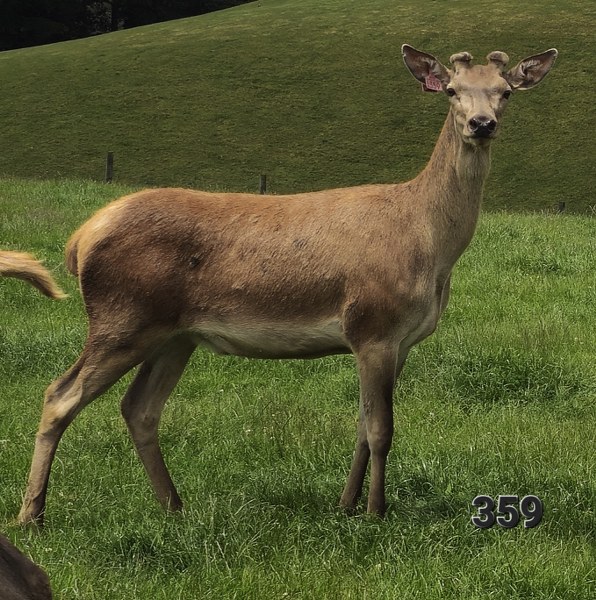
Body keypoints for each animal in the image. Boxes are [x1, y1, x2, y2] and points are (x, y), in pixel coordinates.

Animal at [18, 44, 557, 525]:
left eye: (505, 92)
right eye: (450, 90)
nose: (481, 124)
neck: (430, 248)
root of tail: (81, 238)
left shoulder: (399, 341)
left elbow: (362, 425)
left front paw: (346, 506)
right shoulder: (374, 325)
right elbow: (381, 429)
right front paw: (377, 512)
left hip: (174, 335)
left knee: (139, 408)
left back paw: (174, 507)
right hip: (122, 317)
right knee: (59, 394)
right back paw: (32, 515)